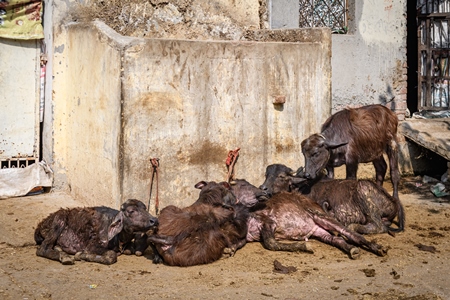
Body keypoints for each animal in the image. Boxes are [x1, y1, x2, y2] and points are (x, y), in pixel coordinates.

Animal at [258, 164, 406, 234]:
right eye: (266, 174)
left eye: (281, 176)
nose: (263, 188)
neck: (299, 187)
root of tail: (392, 200)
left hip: (364, 191)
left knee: (379, 226)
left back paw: (353, 226)